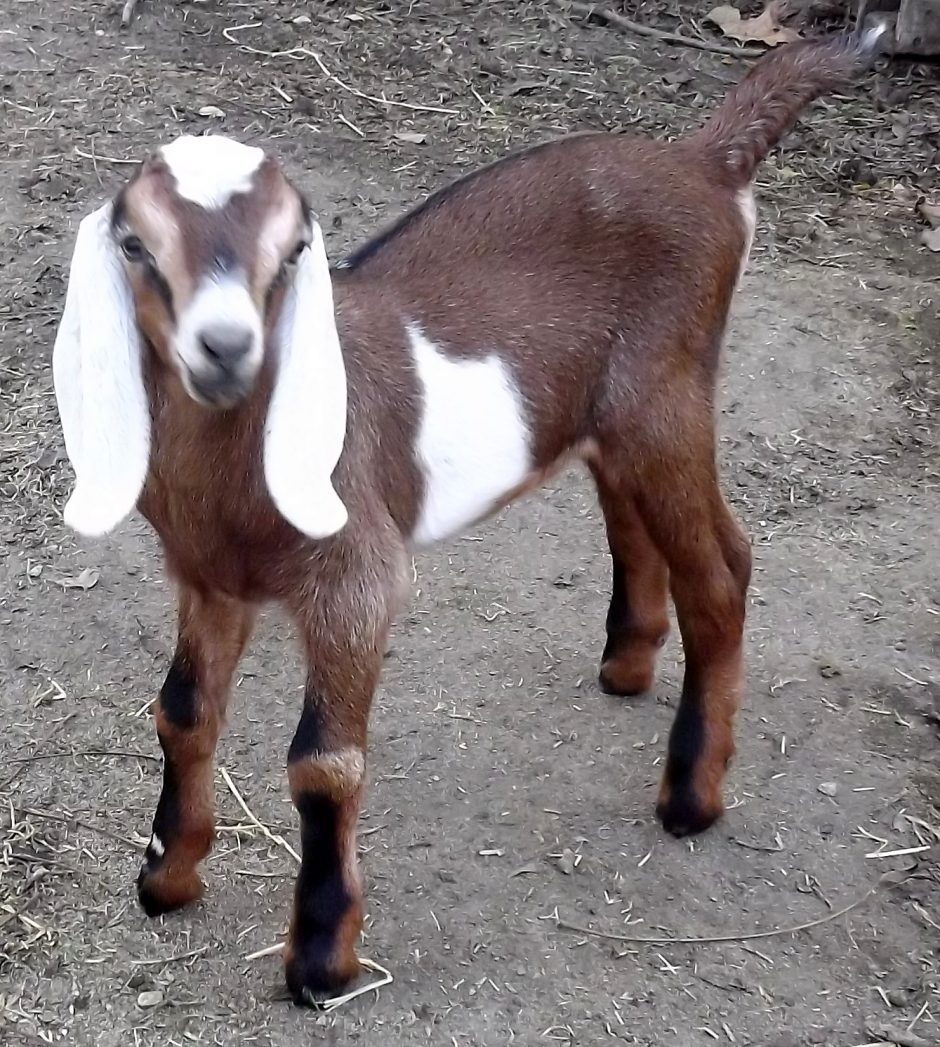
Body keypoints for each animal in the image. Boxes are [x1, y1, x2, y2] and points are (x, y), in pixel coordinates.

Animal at [52, 29, 883, 1004]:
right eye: (136, 244)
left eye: (294, 248)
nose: (226, 347)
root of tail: (702, 163)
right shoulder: (205, 576)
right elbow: (182, 710)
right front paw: (166, 877)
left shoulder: (356, 576)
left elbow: (323, 763)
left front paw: (320, 959)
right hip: (606, 413)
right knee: (632, 519)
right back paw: (627, 663)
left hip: (668, 392)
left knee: (722, 567)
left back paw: (690, 796)